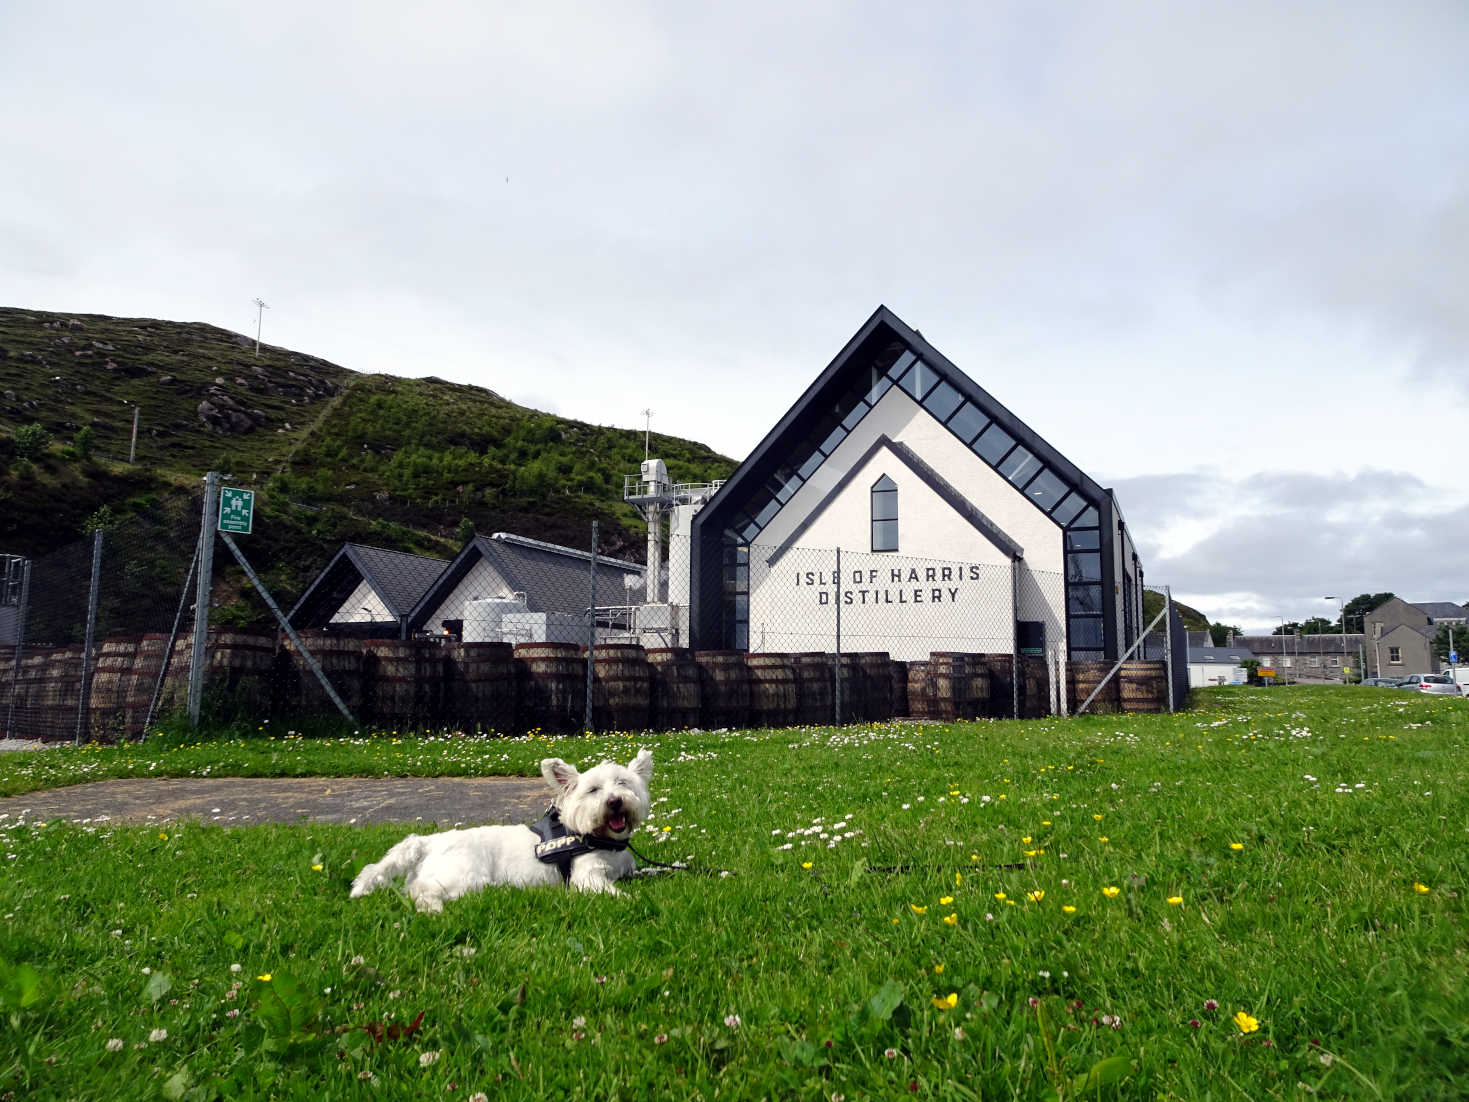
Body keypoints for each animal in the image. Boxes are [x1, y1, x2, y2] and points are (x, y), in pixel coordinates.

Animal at [346, 752, 652, 916]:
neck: (598, 838)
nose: (615, 801)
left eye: (623, 783)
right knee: (421, 890)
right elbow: (610, 891)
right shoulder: (586, 877)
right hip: (464, 876)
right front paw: (632, 901)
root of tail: (428, 842)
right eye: (593, 790)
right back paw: (433, 908)